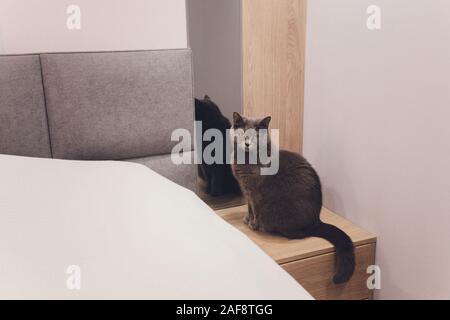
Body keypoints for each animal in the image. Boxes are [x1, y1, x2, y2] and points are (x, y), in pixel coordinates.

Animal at [232, 112, 356, 282]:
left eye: (256, 136)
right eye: (242, 132)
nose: (247, 143)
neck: (245, 161)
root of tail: (316, 221)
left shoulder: (254, 192)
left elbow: (255, 209)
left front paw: (253, 224)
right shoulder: (246, 190)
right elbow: (249, 207)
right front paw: (247, 219)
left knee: (298, 234)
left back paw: (265, 227)